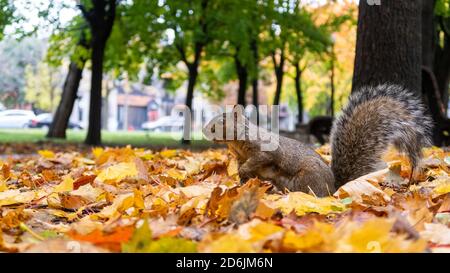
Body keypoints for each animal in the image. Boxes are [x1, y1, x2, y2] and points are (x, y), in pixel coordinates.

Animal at [204, 84, 432, 194]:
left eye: (222, 121)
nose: (207, 130)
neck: (236, 145)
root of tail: (333, 187)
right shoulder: (240, 156)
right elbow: (244, 172)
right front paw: (240, 183)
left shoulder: (264, 149)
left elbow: (261, 158)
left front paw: (244, 172)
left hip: (306, 177)